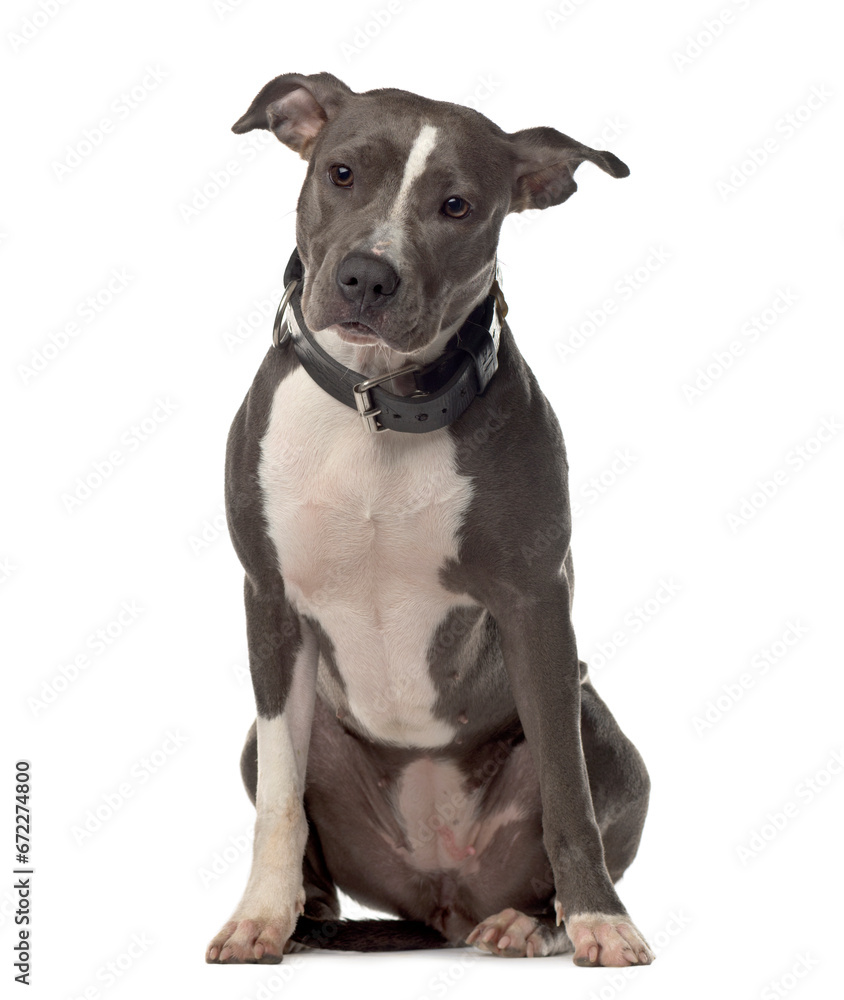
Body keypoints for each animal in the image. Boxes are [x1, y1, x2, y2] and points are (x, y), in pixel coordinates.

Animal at [208, 72, 656, 968]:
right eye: (342, 172)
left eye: (457, 205)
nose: (367, 277)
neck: (380, 406)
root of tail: (443, 898)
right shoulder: (268, 601)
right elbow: (279, 798)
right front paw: (260, 916)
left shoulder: (535, 604)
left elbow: (567, 791)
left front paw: (601, 919)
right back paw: (308, 921)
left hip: (605, 732)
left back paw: (531, 920)